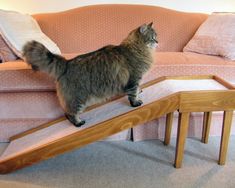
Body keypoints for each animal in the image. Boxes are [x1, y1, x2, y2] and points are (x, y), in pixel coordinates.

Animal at [22, 22, 158, 127]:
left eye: (156, 37)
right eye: (152, 38)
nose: (157, 42)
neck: (137, 48)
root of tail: (67, 63)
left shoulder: (136, 80)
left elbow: (136, 90)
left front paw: (139, 92)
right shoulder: (134, 78)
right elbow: (133, 94)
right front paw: (135, 103)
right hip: (78, 98)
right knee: (69, 113)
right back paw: (78, 123)